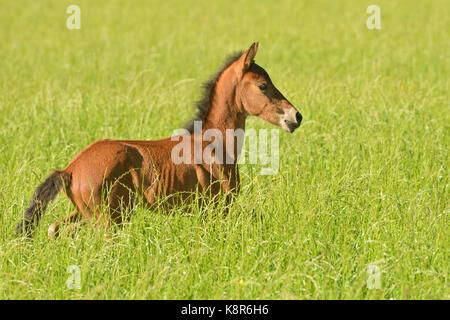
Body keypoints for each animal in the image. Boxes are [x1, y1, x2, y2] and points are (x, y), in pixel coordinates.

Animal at [15, 42, 302, 238]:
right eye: (263, 85)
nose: (295, 116)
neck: (213, 144)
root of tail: (70, 169)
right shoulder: (216, 209)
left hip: (87, 214)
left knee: (54, 229)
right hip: (110, 219)